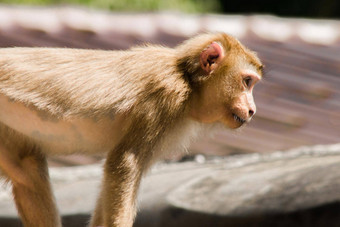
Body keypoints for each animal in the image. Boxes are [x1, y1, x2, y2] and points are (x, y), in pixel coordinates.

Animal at [0, 32, 262, 227]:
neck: (186, 80)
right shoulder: (165, 96)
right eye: (247, 81)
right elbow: (126, 163)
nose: (253, 110)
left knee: (26, 171)